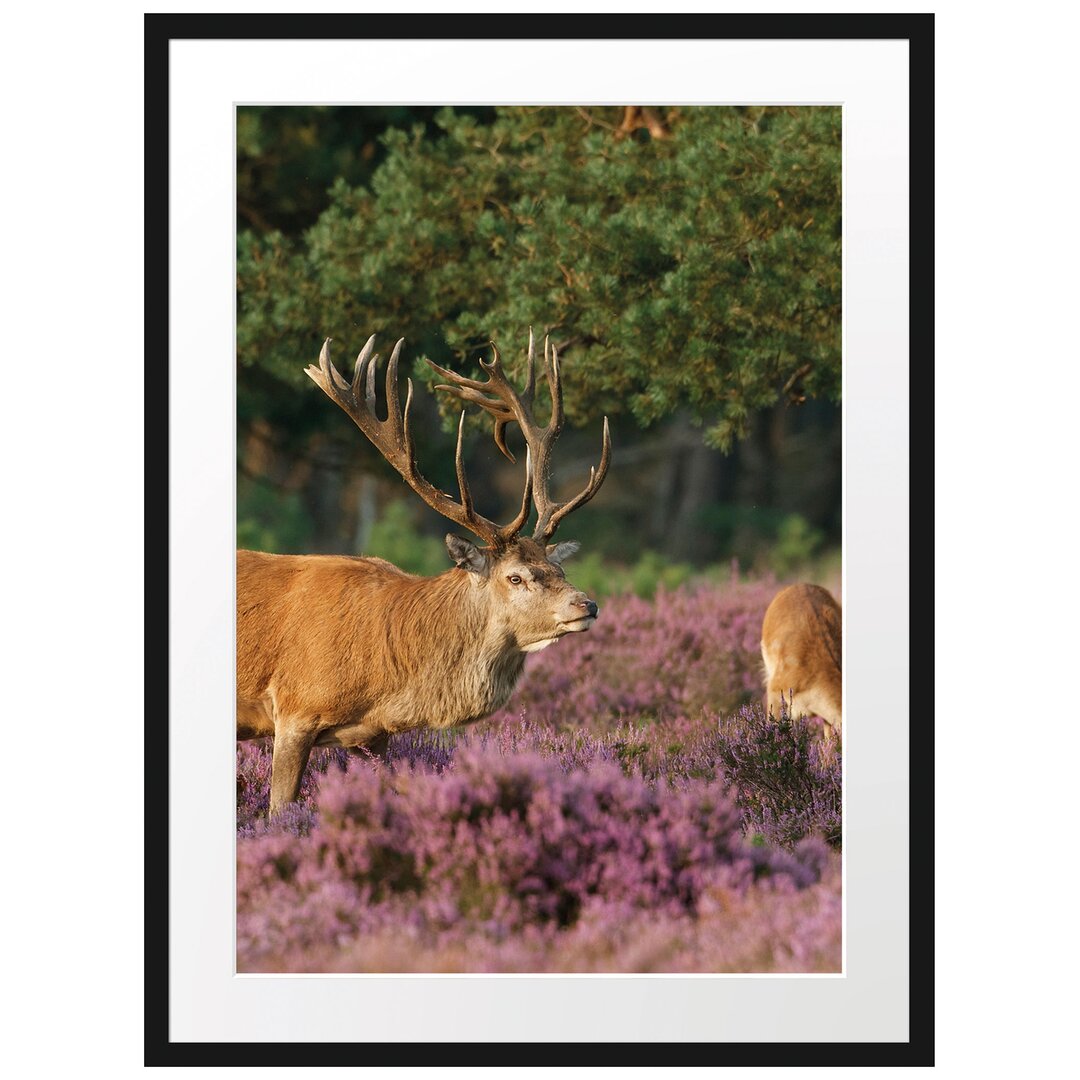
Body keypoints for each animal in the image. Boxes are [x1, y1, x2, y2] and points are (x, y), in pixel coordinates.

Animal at [236, 328, 609, 812]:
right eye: (515, 576)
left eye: (557, 568)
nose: (588, 605)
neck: (386, 677)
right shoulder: (294, 709)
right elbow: (280, 810)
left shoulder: (373, 736)